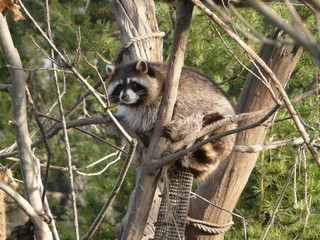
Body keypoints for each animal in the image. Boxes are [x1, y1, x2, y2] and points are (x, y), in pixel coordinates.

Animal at [106, 60, 236, 180]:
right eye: (119, 87)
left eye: (133, 84)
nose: (124, 96)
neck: (137, 102)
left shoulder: (162, 95)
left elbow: (152, 113)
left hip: (208, 107)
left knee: (189, 113)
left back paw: (179, 136)